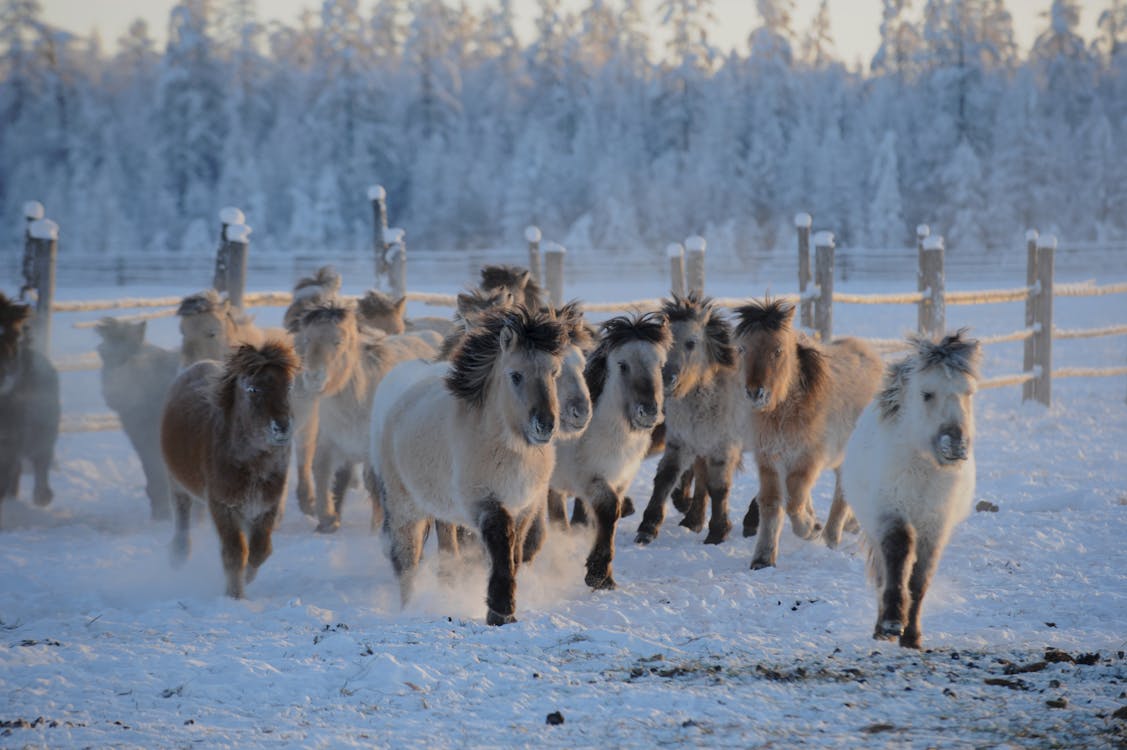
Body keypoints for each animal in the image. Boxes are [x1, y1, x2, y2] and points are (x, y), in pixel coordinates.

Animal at [161, 340, 299, 595]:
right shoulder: (223, 506)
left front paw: (247, 579)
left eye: (288, 386)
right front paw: (235, 595)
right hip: (177, 483)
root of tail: (196, 365)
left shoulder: (265, 505)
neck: (252, 465)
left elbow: (260, 550)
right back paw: (178, 554)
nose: (282, 427)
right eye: (253, 389)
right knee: (182, 513)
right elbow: (235, 553)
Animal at [369, 306, 563, 622]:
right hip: (404, 506)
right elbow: (501, 545)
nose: (545, 424)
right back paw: (410, 609)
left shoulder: (525, 507)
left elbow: (514, 553)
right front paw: (500, 610)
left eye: (554, 372)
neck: (509, 449)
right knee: (407, 561)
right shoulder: (485, 503)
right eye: (516, 375)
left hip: (443, 511)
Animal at [734, 297, 883, 568]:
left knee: (842, 494)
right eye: (742, 349)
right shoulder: (769, 459)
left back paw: (832, 535)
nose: (755, 392)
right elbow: (772, 503)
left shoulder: (808, 459)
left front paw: (810, 528)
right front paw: (763, 558)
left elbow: (794, 502)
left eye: (778, 350)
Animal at [842, 331, 982, 645]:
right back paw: (880, 628)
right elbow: (897, 559)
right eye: (927, 394)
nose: (955, 445)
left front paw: (912, 636)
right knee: (881, 573)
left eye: (968, 392)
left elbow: (920, 578)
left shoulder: (935, 526)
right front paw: (893, 622)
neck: (923, 471)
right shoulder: (890, 514)